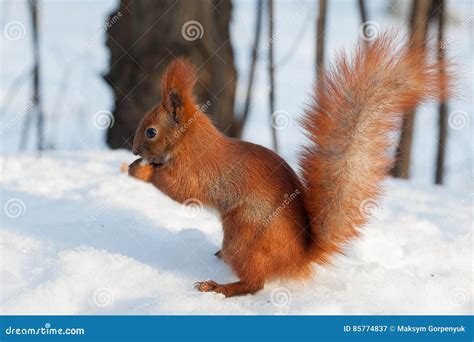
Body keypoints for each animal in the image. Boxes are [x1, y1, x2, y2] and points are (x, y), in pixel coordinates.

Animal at [127, 33, 452, 298]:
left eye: (151, 132)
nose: (133, 149)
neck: (190, 142)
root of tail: (298, 260)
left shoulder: (198, 171)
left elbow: (181, 189)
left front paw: (139, 170)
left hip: (244, 232)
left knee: (255, 283)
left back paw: (220, 286)